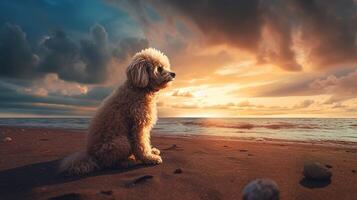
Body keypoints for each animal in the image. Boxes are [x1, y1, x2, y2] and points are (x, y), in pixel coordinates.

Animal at [59, 47, 175, 175]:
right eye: (159, 68)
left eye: (165, 66)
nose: (173, 74)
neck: (140, 89)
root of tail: (91, 156)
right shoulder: (138, 126)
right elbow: (141, 144)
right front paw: (149, 158)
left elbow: (145, 143)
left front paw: (151, 152)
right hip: (121, 142)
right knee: (109, 163)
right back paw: (127, 161)